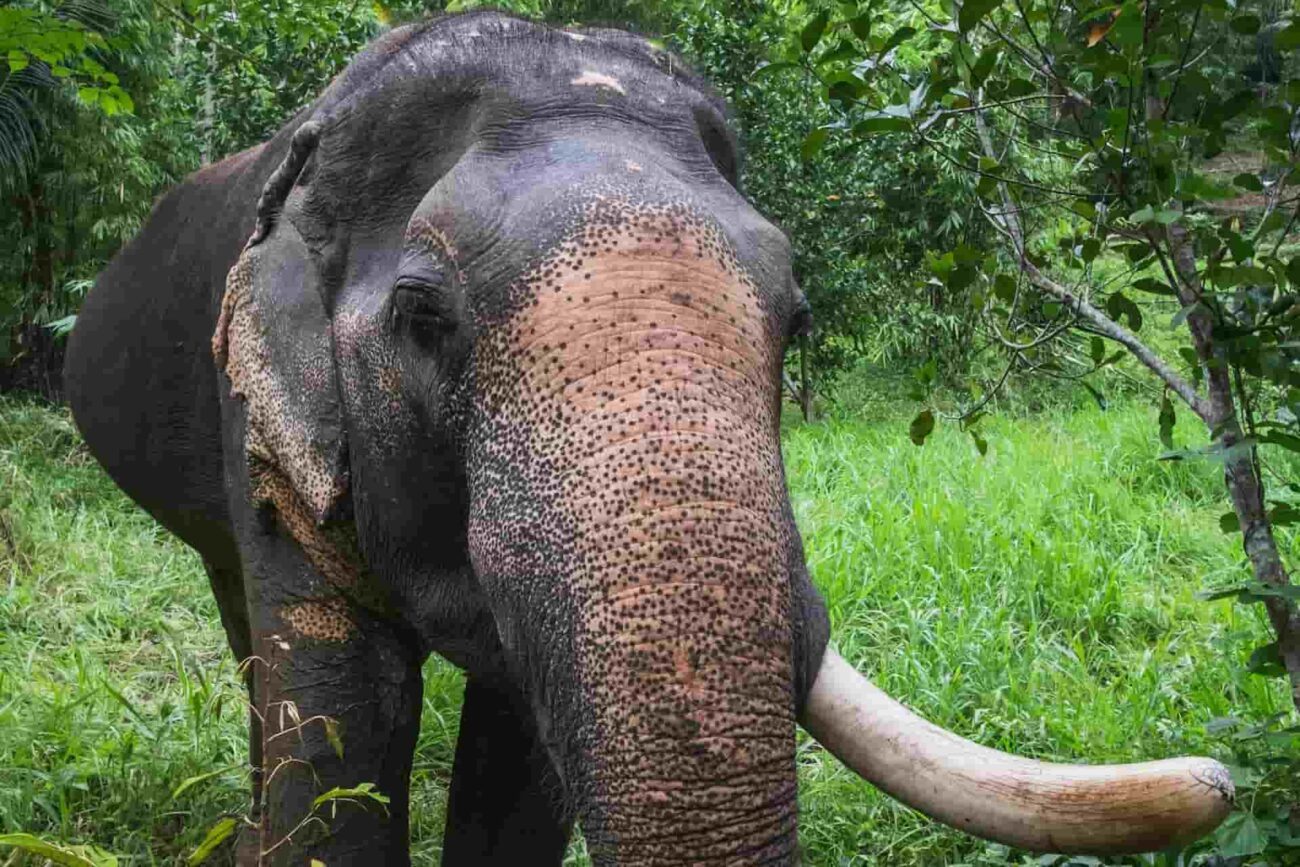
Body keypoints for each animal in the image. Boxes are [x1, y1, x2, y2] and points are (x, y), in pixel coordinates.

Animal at [64, 10, 1233, 866]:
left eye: (798, 317)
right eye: (423, 317)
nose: (1221, 776)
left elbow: (520, 773)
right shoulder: (269, 425)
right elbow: (341, 746)